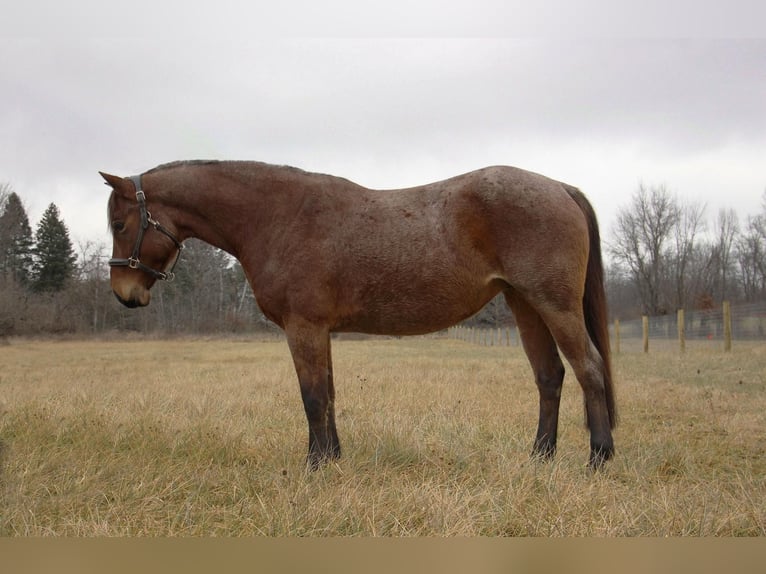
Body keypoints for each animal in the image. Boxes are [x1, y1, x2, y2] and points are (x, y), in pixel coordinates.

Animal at [102, 161, 616, 472]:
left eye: (120, 223)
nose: (124, 295)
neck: (277, 216)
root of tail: (560, 187)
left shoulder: (304, 327)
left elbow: (312, 397)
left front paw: (314, 467)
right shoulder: (320, 330)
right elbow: (328, 394)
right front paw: (332, 459)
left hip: (553, 304)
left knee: (589, 369)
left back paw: (599, 458)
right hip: (524, 304)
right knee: (550, 376)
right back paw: (540, 457)